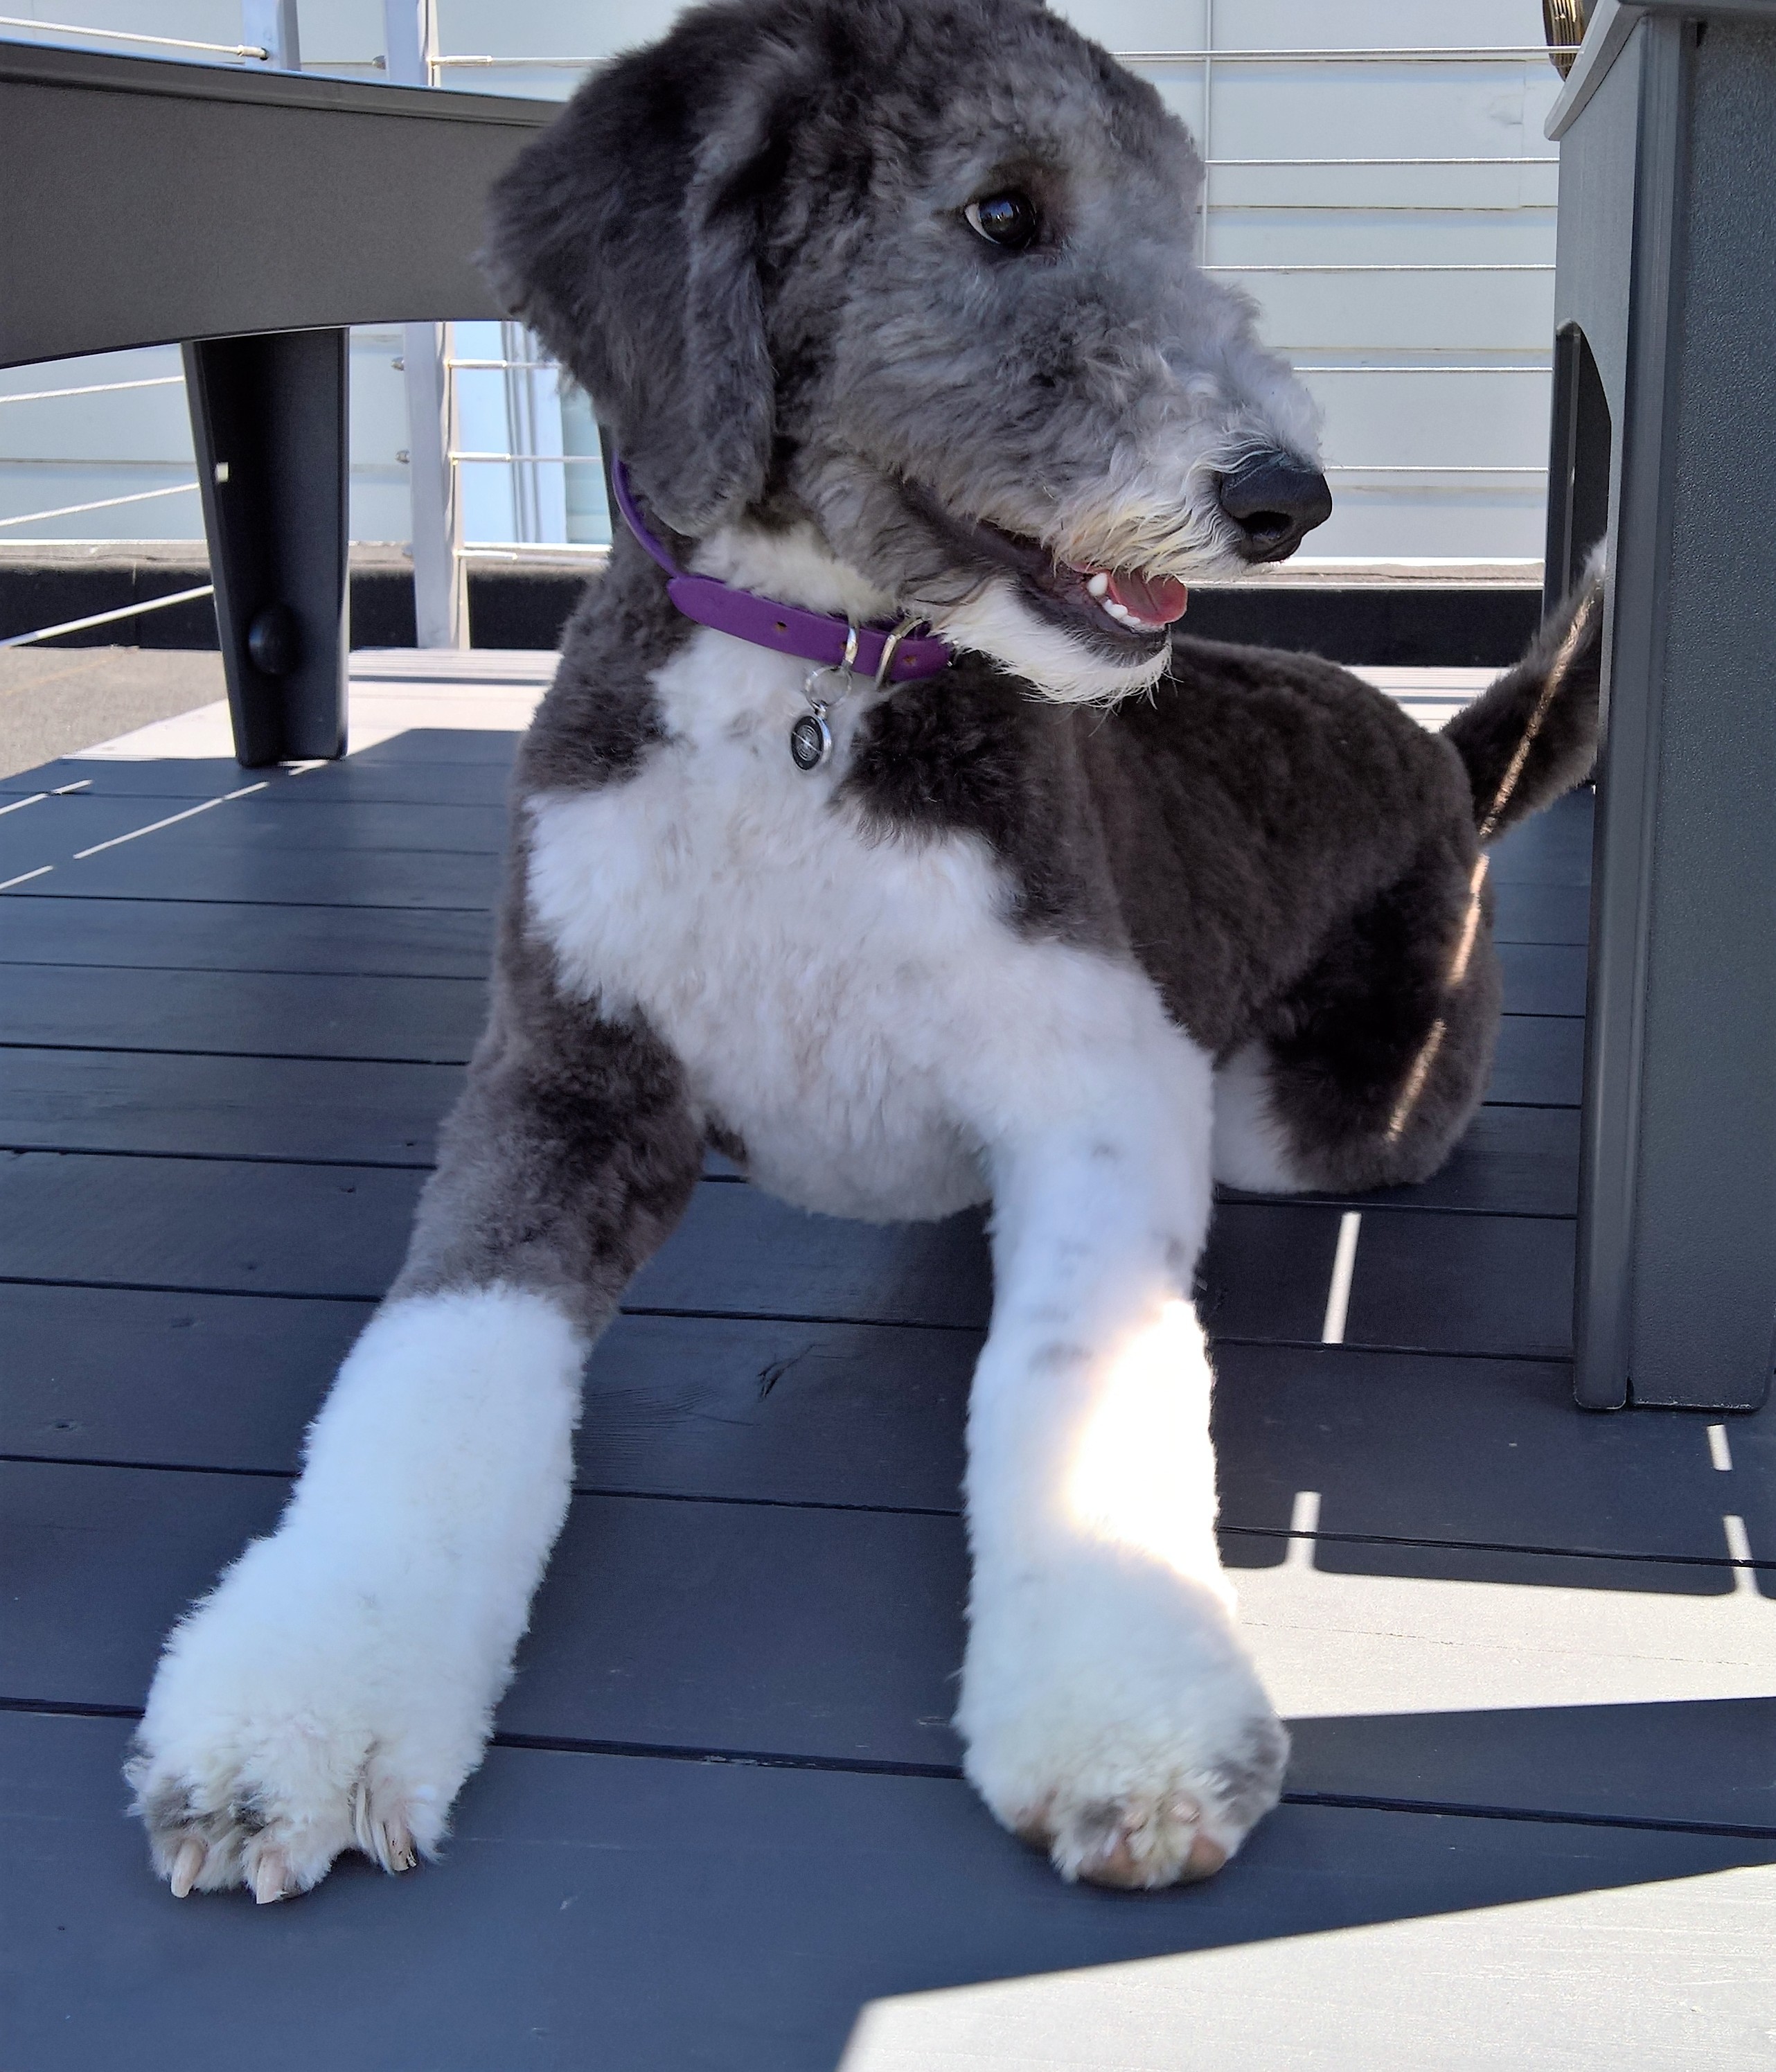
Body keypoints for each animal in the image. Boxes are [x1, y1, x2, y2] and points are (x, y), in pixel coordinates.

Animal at [128, 0, 1602, 1900]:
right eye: (1001, 211)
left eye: (1179, 223)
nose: (1288, 495)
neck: (810, 695)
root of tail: (1442, 758)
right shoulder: (558, 1075)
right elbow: (428, 1364)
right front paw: (295, 1718)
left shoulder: (1101, 1082)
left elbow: (1074, 1374)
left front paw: (1122, 1720)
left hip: (1319, 1111)